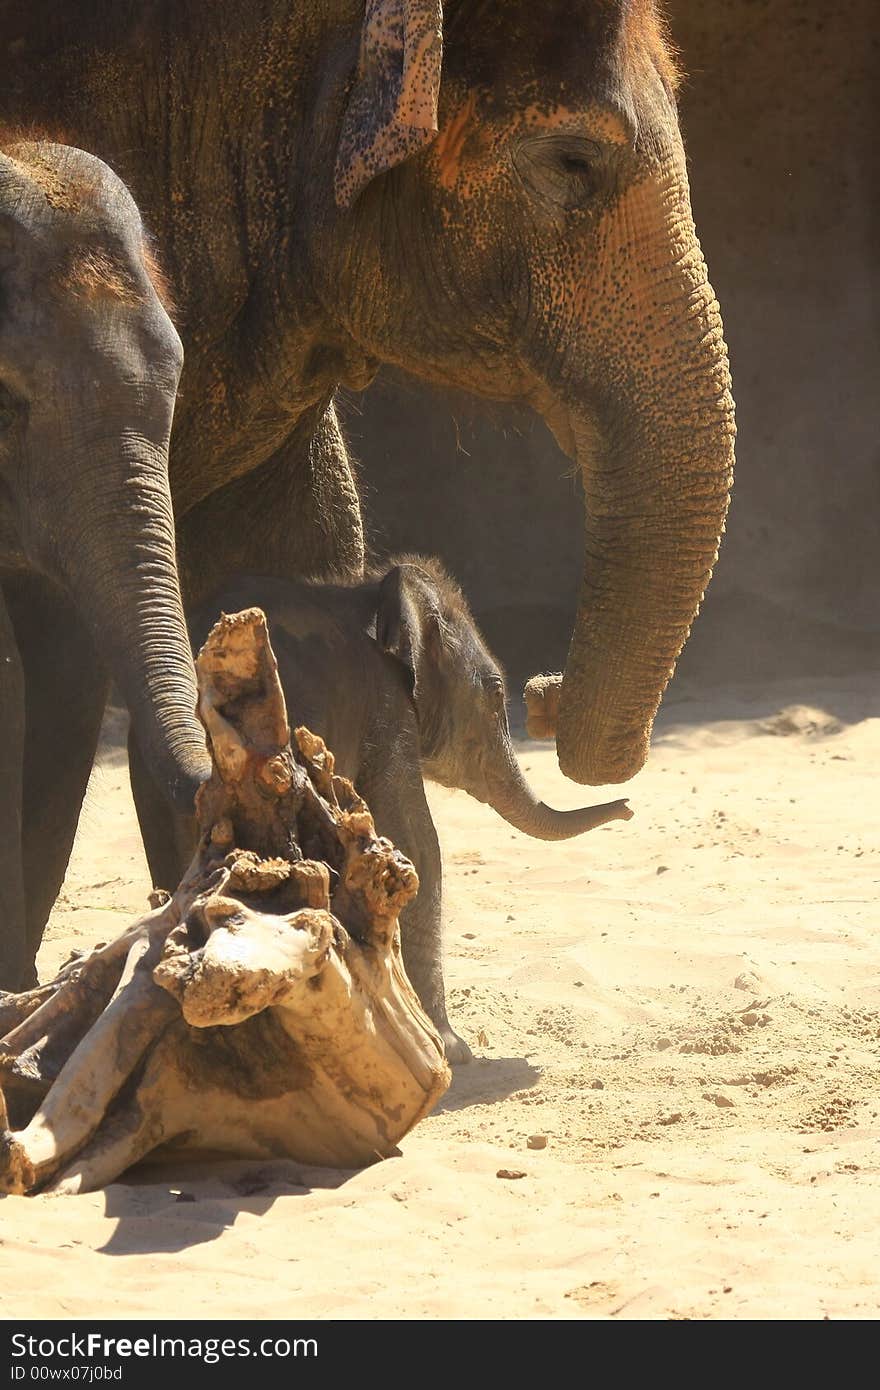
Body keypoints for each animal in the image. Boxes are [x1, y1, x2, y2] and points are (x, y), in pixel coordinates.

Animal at [132, 558, 631, 1056]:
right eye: (494, 696)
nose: (627, 808)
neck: (367, 591)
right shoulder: (386, 708)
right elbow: (417, 844)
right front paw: (453, 1049)